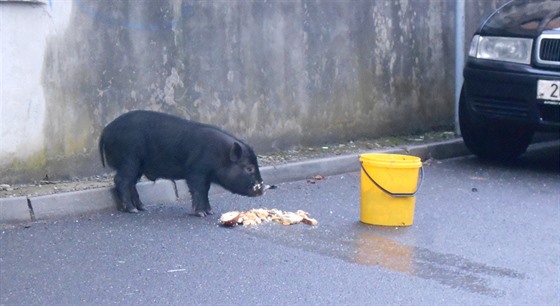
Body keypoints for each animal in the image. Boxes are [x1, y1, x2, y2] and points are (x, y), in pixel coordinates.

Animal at [99, 110, 266, 215]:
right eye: (249, 168)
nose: (262, 189)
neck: (219, 155)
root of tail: (106, 131)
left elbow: (205, 191)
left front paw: (210, 212)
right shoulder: (196, 171)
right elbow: (199, 190)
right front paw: (202, 213)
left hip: (137, 165)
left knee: (131, 183)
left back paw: (142, 208)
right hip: (128, 159)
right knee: (121, 180)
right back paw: (132, 210)